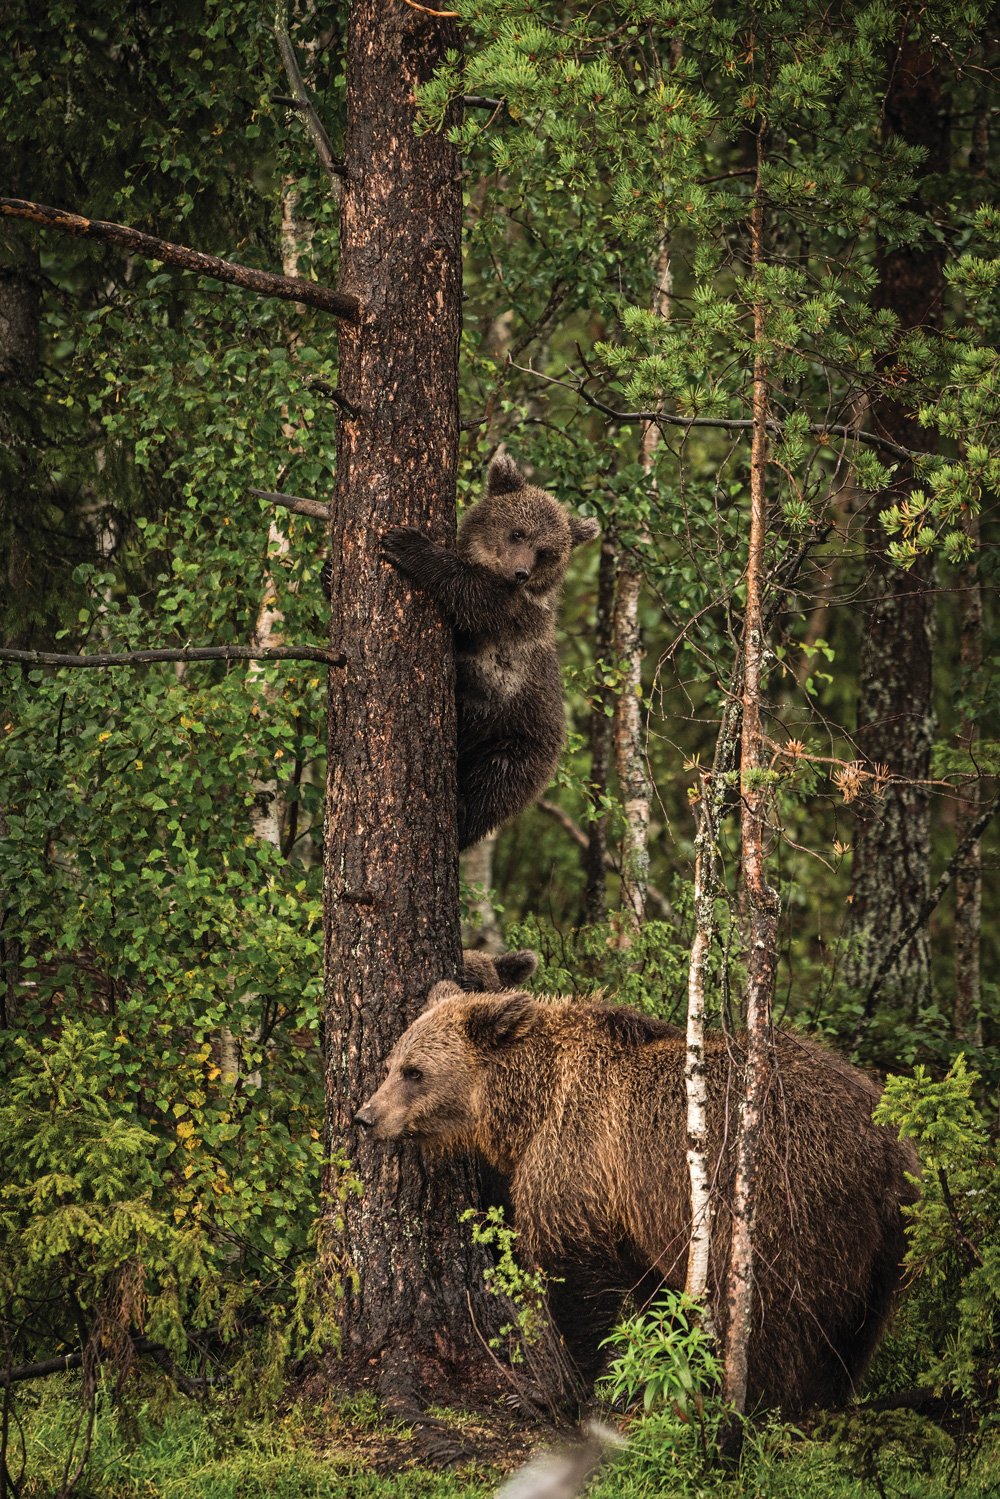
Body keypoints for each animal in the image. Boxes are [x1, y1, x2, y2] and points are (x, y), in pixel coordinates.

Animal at [355, 983, 917, 1415]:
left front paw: (550, 1392)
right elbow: (651, 1292)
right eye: (391, 1063)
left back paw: (754, 1400)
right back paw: (827, 1394)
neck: (529, 1105)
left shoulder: (580, 1162)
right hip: (887, 1240)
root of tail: (886, 1144)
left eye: (414, 1071)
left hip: (788, 1204)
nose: (365, 1116)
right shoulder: (637, 1214)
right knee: (858, 1326)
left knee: (776, 1315)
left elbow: (576, 1281)